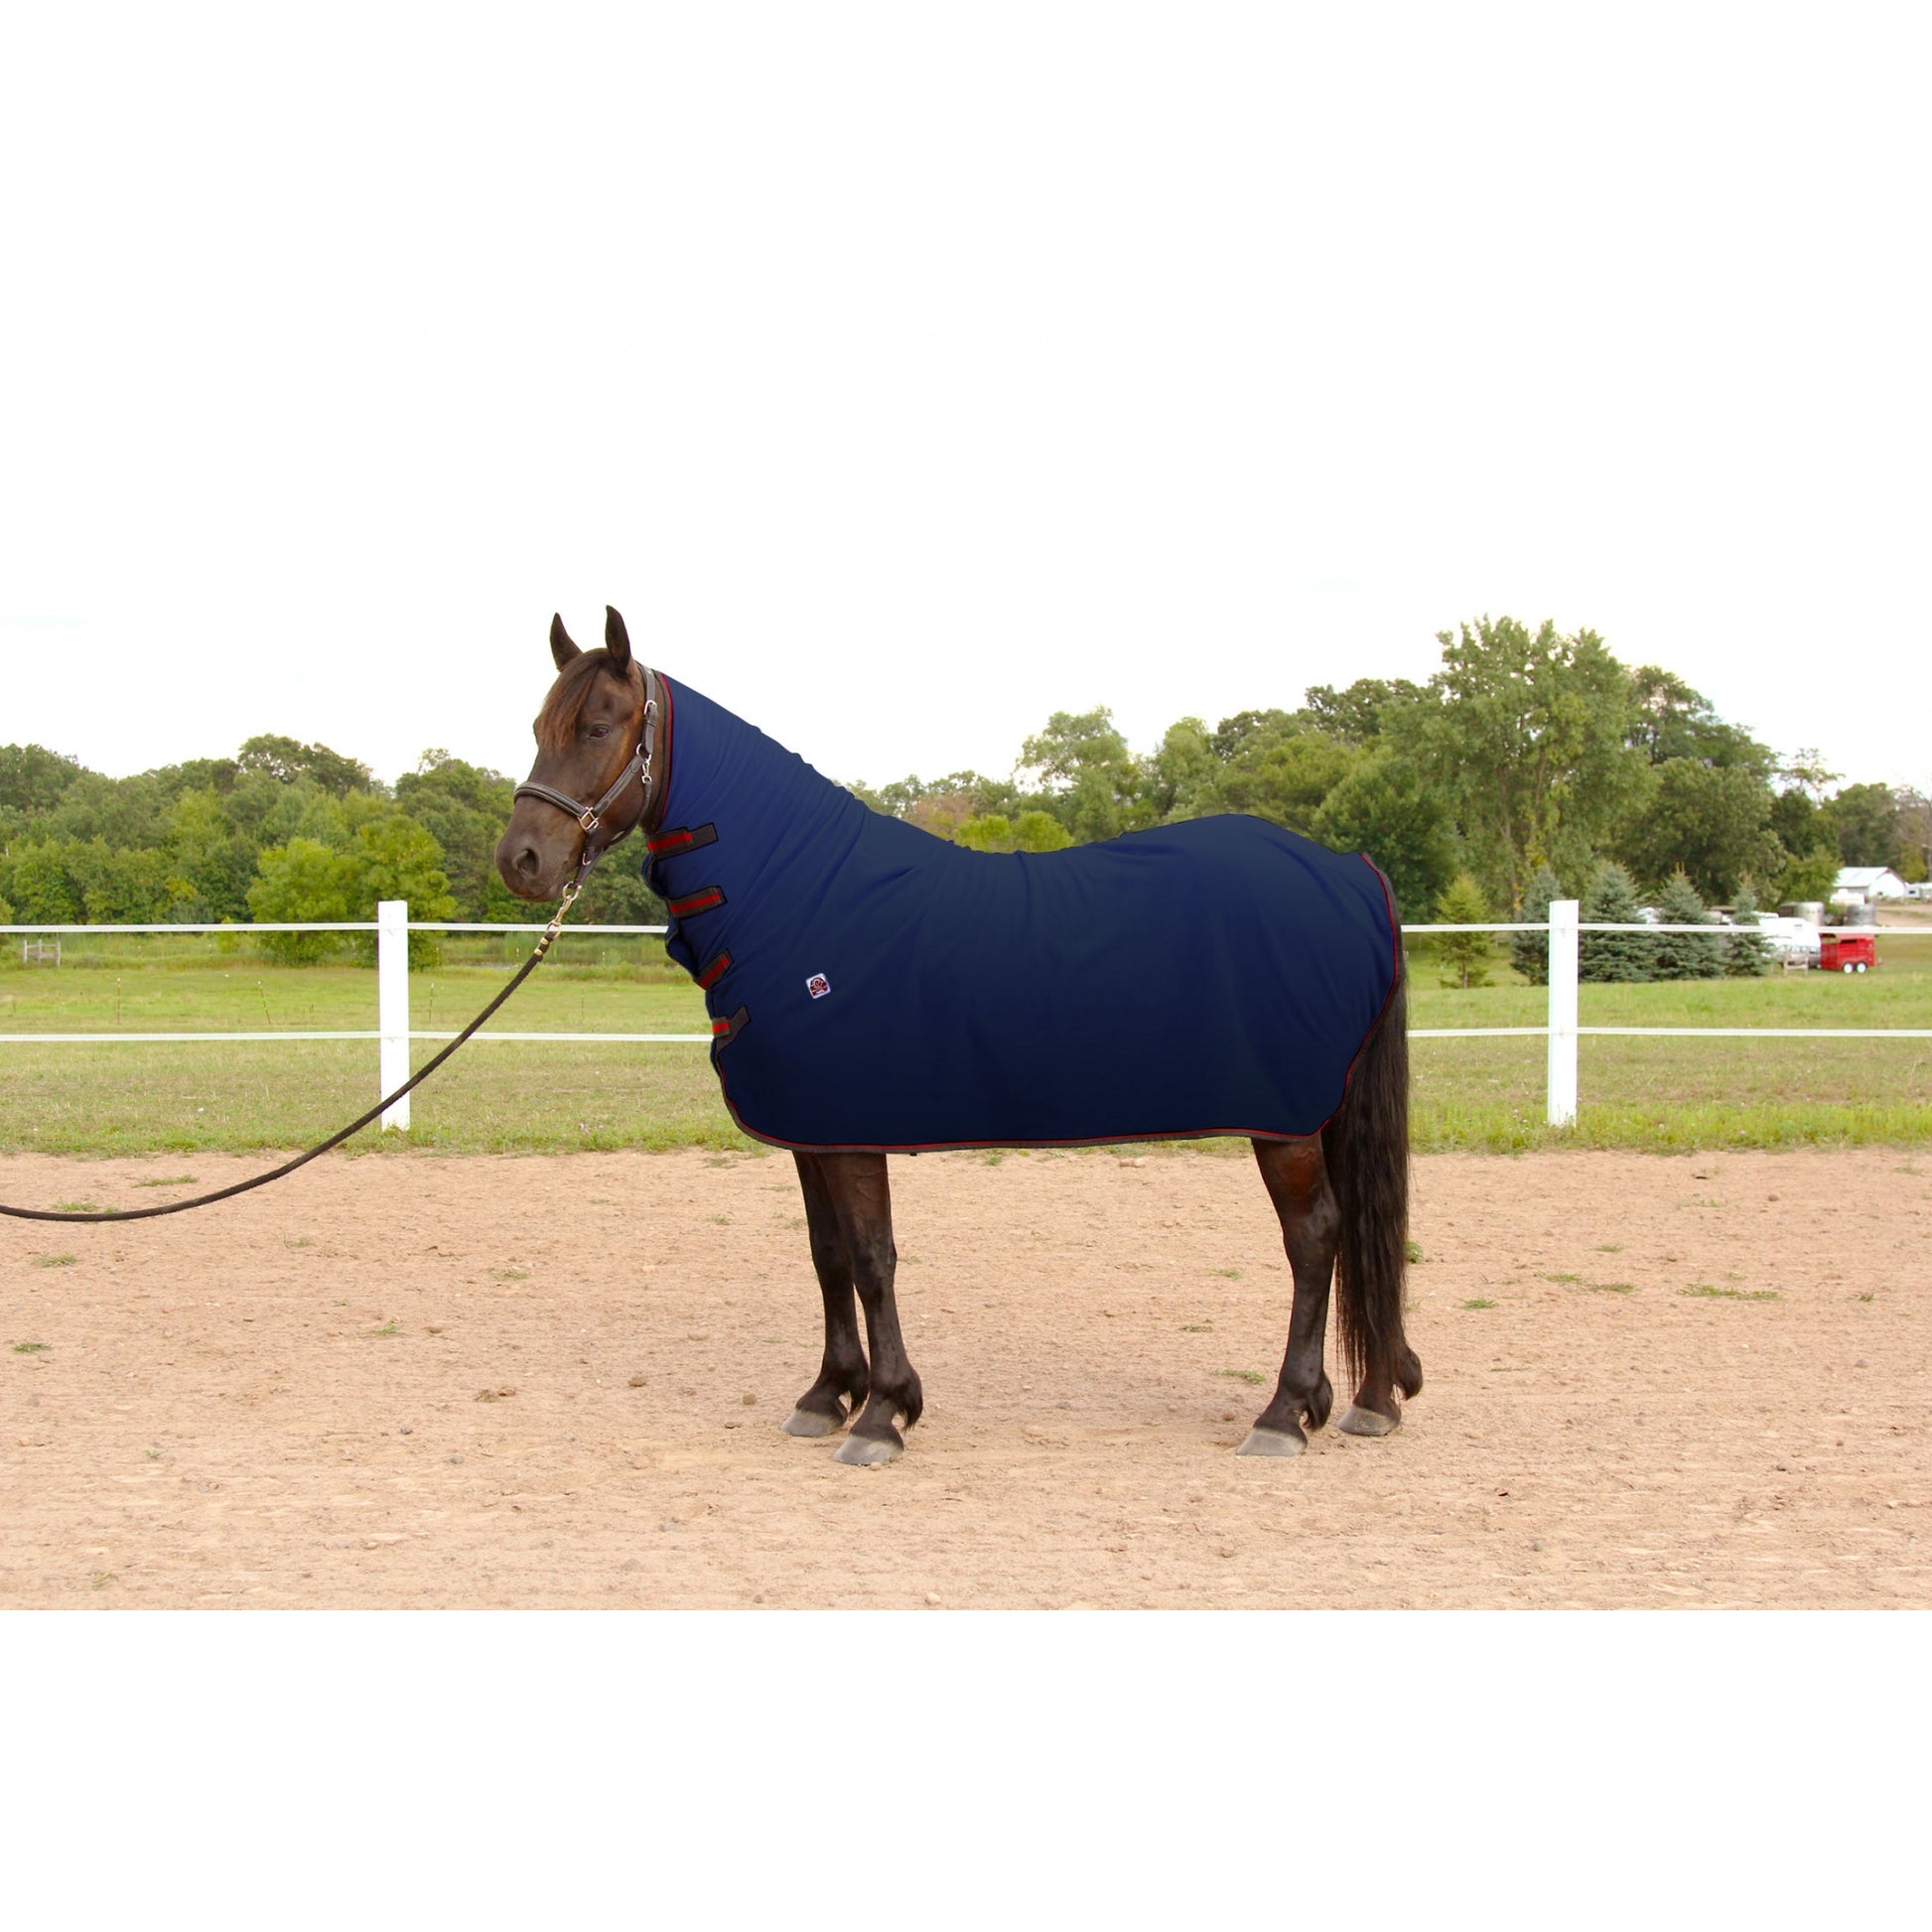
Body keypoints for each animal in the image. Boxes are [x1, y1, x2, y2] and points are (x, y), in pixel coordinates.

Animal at [495, 606, 1421, 1466]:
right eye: (539, 729)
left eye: (598, 727)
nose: (522, 861)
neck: (801, 893)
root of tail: (1349, 870)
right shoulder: (809, 1131)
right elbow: (827, 1256)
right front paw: (828, 1394)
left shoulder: (853, 1129)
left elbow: (873, 1257)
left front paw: (883, 1413)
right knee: (1356, 1233)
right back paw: (1366, 1398)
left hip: (1287, 1122)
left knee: (1315, 1238)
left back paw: (1284, 1412)